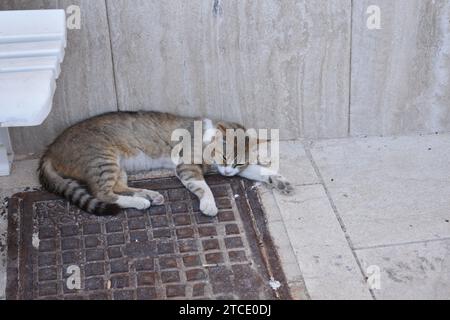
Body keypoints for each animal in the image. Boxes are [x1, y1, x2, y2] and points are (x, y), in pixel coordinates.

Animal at [37, 110, 292, 218]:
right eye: (225, 158)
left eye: (238, 164)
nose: (228, 173)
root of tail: (50, 148)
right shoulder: (187, 166)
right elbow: (204, 187)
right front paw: (209, 205)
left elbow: (262, 171)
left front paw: (280, 180)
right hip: (102, 160)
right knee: (103, 193)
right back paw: (141, 202)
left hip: (117, 167)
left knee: (117, 188)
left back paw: (148, 195)